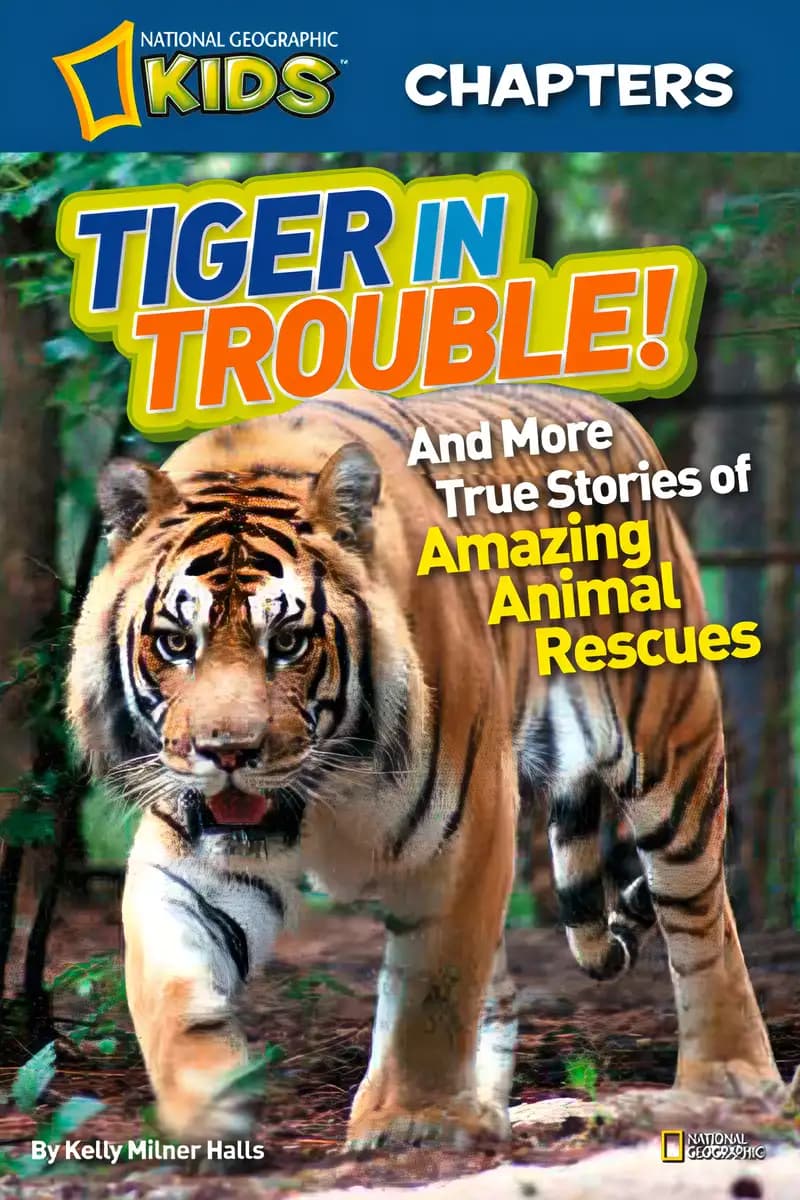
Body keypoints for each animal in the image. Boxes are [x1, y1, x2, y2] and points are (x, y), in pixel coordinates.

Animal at [67, 383, 780, 1149]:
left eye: (287, 641)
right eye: (176, 642)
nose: (228, 753)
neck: (324, 791)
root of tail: (606, 408)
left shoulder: (468, 830)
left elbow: (432, 993)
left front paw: (411, 1119)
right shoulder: (189, 854)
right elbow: (168, 986)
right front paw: (208, 1103)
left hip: (670, 738)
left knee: (701, 917)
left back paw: (729, 1076)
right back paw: (489, 1110)